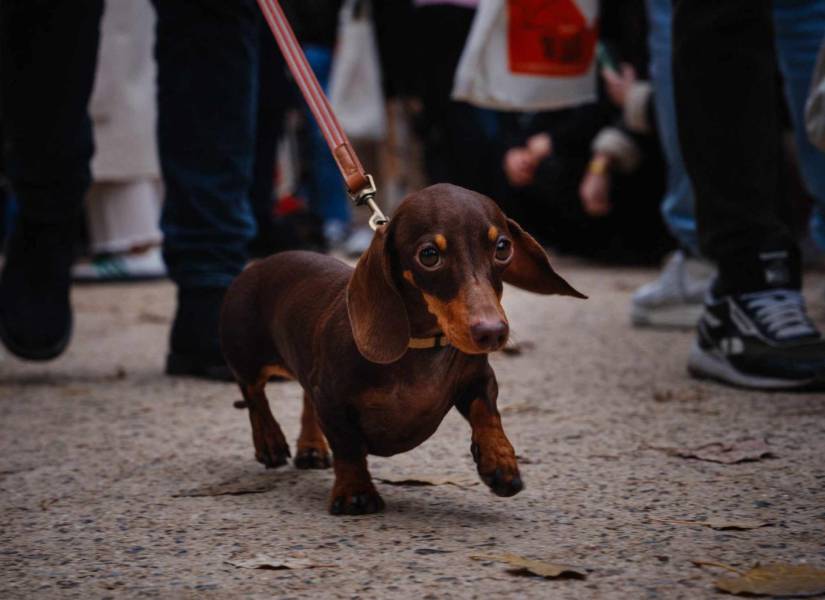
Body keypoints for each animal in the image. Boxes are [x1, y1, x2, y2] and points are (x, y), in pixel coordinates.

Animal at [219, 184, 584, 516]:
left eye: (503, 247)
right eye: (429, 255)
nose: (492, 333)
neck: (419, 346)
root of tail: (259, 264)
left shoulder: (479, 378)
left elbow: (488, 413)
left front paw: (500, 463)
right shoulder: (332, 399)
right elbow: (348, 447)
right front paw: (355, 493)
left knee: (304, 402)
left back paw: (310, 449)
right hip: (247, 354)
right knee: (254, 394)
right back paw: (269, 442)